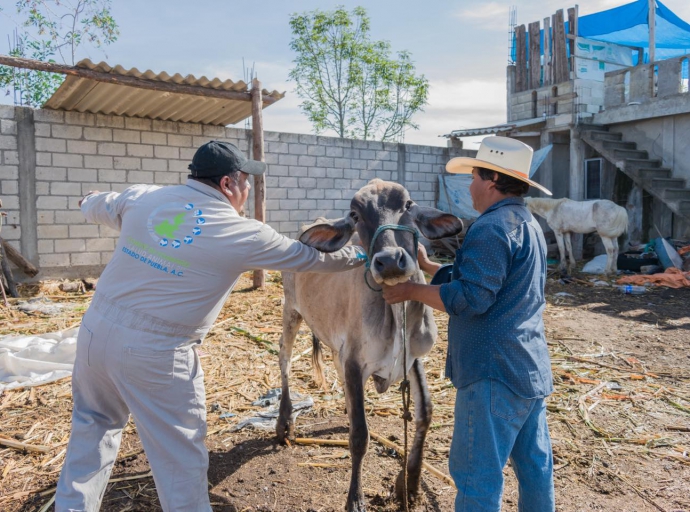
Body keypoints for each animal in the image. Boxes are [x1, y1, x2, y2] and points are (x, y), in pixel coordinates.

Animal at [274, 178, 462, 510]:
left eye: (408, 205)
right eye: (355, 215)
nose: (389, 261)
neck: (396, 310)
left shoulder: (412, 358)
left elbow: (425, 412)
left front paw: (409, 484)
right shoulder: (354, 361)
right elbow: (360, 435)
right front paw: (355, 498)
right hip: (291, 309)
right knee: (284, 357)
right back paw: (285, 420)